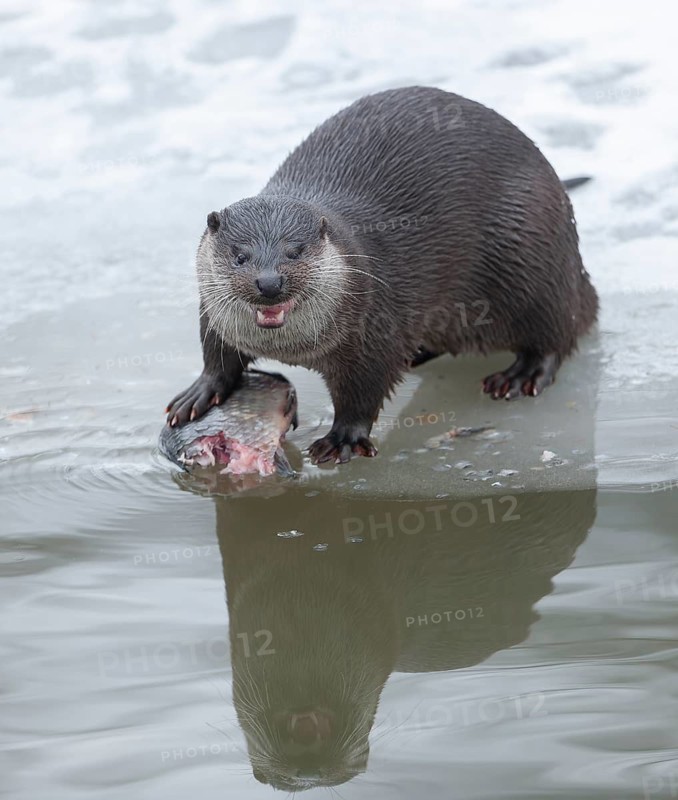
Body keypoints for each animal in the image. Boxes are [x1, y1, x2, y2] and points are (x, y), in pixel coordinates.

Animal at [166, 86, 598, 463]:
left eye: (295, 251)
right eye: (240, 256)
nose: (270, 282)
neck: (294, 349)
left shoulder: (374, 325)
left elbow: (364, 390)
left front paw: (343, 439)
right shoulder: (212, 310)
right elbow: (216, 353)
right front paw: (200, 393)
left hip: (532, 259)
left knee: (559, 327)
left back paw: (521, 375)